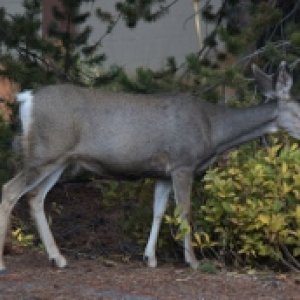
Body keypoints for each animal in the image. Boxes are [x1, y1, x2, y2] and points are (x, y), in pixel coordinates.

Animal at [0, 61, 298, 272]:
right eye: (299, 108)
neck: (213, 130)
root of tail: (26, 98)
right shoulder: (183, 163)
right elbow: (185, 212)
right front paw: (193, 261)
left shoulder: (162, 173)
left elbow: (158, 212)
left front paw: (149, 257)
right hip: (45, 153)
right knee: (10, 191)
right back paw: (6, 263)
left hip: (60, 160)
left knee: (35, 197)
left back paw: (58, 258)